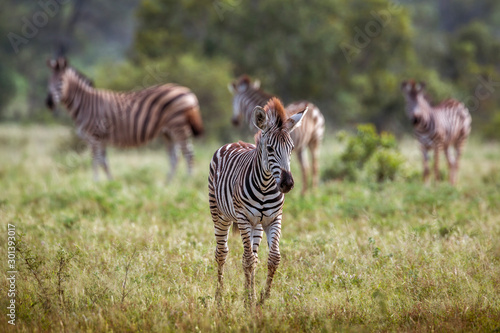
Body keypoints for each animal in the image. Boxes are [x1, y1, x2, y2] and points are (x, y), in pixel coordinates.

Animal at [46, 57, 203, 182]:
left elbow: (95, 161)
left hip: (179, 127)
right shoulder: (101, 139)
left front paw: (95, 183)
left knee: (189, 154)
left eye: (61, 81)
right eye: (48, 81)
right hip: (168, 132)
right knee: (175, 157)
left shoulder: (94, 137)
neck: (85, 104)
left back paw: (187, 183)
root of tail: (188, 92)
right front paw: (110, 183)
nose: (48, 103)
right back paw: (167, 184)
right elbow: (104, 162)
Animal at [209, 96, 306, 304]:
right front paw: (251, 299)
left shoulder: (274, 219)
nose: (287, 184)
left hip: (258, 225)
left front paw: (262, 298)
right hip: (221, 215)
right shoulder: (244, 219)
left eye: (291, 148)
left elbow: (273, 258)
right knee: (222, 253)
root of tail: (235, 142)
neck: (266, 185)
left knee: (252, 255)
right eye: (270, 148)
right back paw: (219, 296)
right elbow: (247, 260)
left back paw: (249, 293)